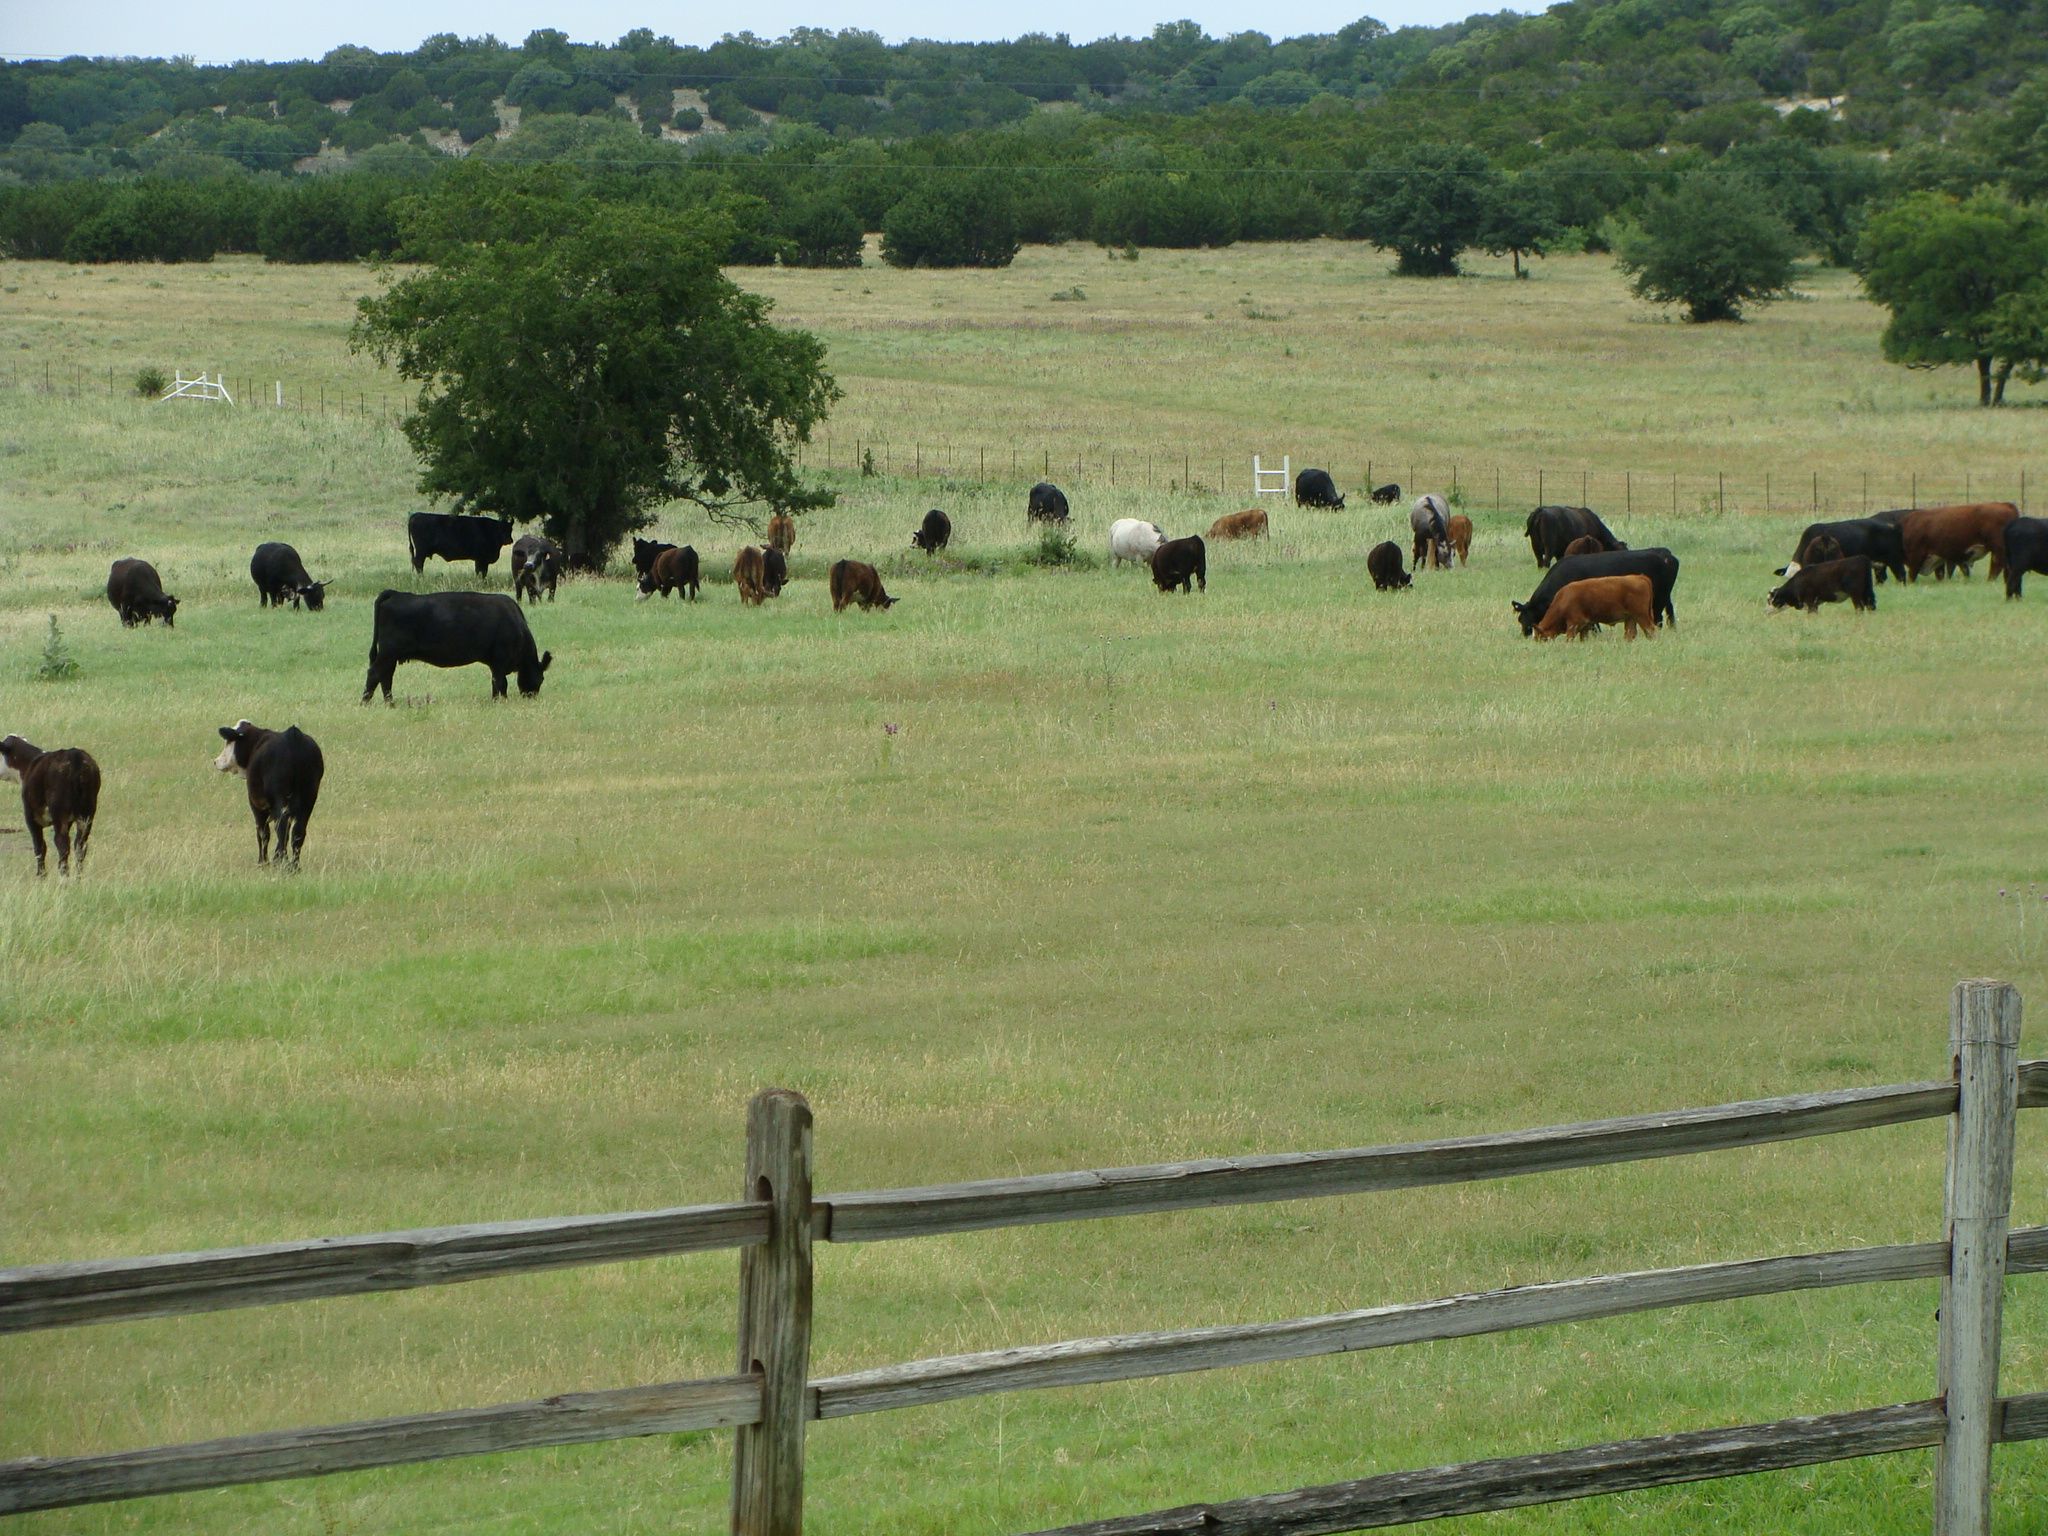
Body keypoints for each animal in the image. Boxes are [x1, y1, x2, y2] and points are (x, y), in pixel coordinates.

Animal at [0, 737, 100, 876]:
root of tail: (75, 756)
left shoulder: (30, 816)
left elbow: (40, 847)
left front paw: (41, 875)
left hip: (59, 812)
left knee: (62, 843)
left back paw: (64, 876)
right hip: (87, 812)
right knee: (80, 845)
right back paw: (78, 877)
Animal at [211, 720, 323, 868]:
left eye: (228, 741)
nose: (216, 761)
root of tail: (293, 736)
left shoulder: (256, 804)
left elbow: (263, 833)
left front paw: (262, 862)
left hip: (280, 799)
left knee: (281, 828)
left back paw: (280, 861)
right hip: (308, 799)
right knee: (297, 832)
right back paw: (294, 866)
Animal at [360, 593, 552, 708]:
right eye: (541, 678)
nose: (532, 697)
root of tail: (396, 594)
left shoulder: (494, 664)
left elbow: (494, 683)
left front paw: (495, 700)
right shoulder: (500, 659)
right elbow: (501, 683)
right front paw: (502, 702)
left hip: (391, 655)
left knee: (386, 677)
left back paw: (390, 704)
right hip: (389, 652)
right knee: (375, 674)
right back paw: (365, 703)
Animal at [1507, 548, 1679, 638]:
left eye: (1524, 619)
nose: (1525, 635)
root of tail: (1666, 554)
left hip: (1657, 601)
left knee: (1657, 620)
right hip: (1665, 599)